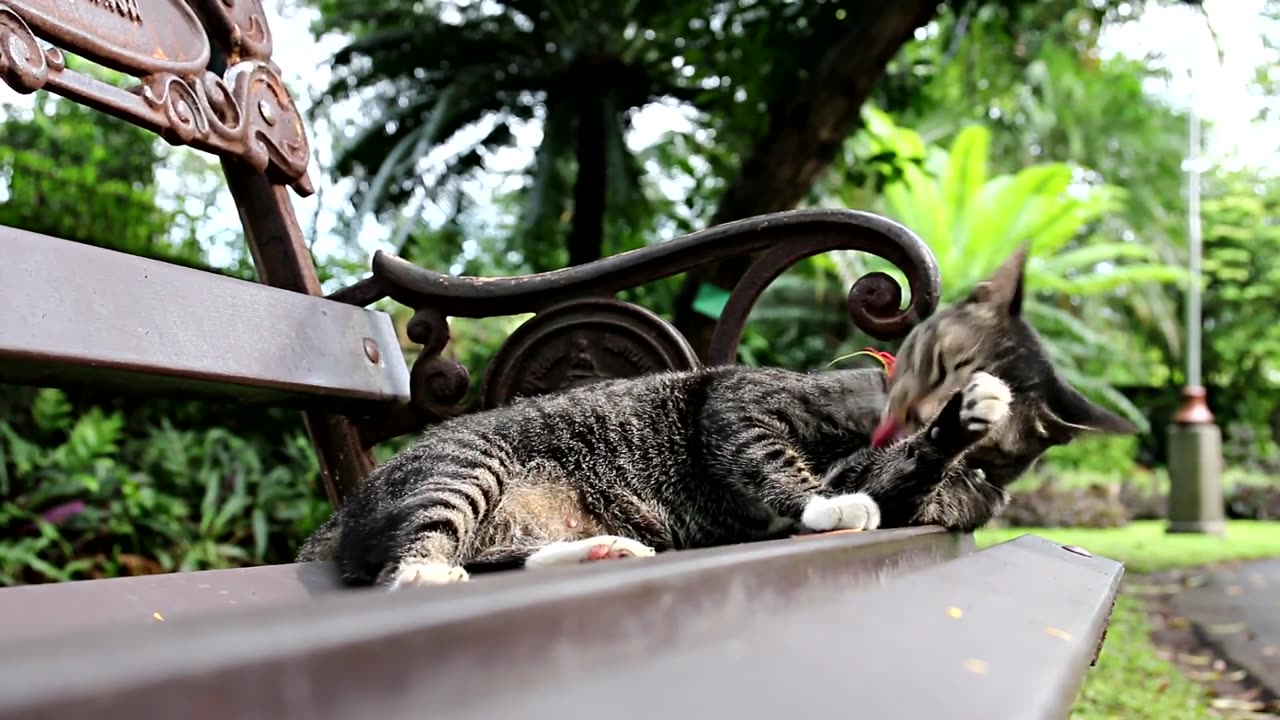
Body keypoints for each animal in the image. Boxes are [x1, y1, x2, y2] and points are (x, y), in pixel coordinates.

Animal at [296, 243, 1131, 586]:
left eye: (1003, 461)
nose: (939, 409)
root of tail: (344, 514)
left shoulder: (912, 491)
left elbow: (902, 482)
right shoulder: (736, 405)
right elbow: (774, 464)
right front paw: (830, 506)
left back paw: (599, 552)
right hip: (470, 466)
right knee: (407, 563)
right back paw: (429, 574)